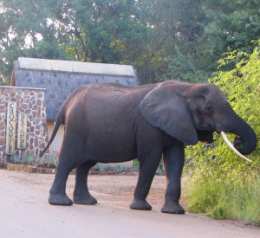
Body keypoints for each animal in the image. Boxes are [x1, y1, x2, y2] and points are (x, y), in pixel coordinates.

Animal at [40, 80, 256, 214]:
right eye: (208, 109)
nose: (238, 142)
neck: (186, 88)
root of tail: (67, 101)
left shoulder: (176, 125)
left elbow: (176, 161)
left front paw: (174, 212)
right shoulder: (148, 127)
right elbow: (151, 159)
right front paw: (141, 208)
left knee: (85, 165)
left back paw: (87, 202)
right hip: (76, 127)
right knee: (68, 160)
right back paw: (61, 203)